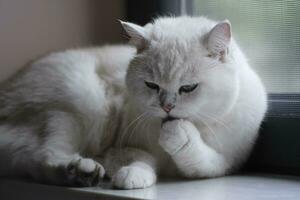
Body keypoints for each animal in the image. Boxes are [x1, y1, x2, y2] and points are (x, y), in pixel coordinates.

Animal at [0, 16, 268, 189]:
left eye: (188, 88)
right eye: (152, 85)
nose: (166, 107)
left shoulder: (226, 162)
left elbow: (199, 159)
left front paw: (176, 133)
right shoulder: (121, 148)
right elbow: (142, 160)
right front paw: (130, 176)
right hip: (77, 105)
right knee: (45, 155)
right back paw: (84, 171)